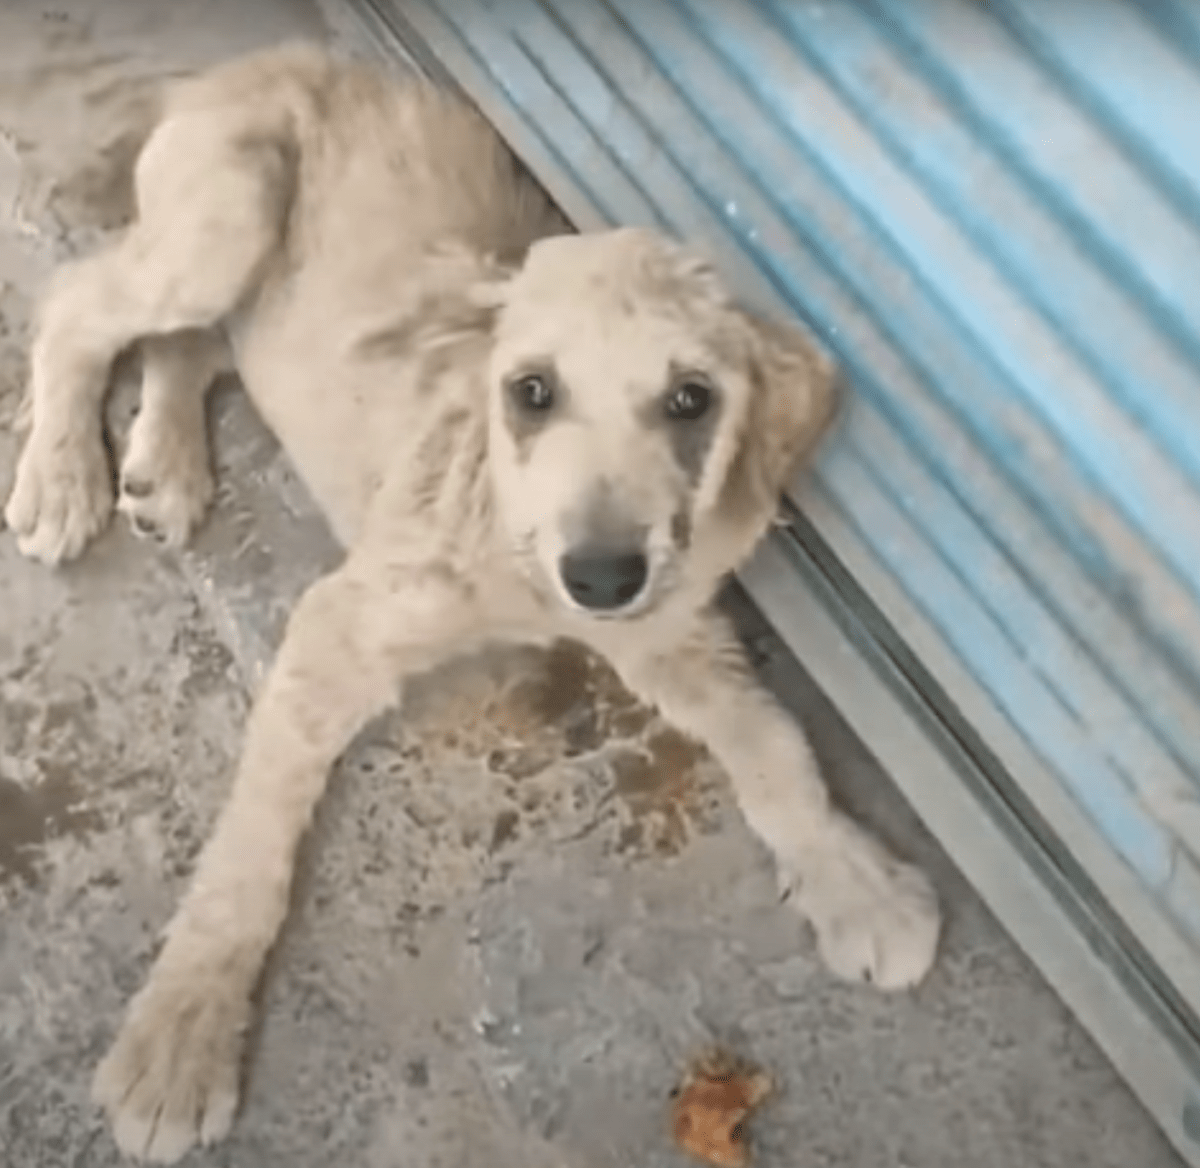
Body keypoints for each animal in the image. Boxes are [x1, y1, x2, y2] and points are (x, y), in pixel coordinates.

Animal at [2, 41, 936, 1161]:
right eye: (530, 392)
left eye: (691, 400)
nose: (603, 578)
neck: (518, 551)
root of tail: (268, 53)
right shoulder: (338, 628)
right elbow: (249, 853)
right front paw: (183, 1035)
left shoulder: (669, 624)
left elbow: (775, 743)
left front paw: (855, 883)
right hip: (227, 214)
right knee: (81, 300)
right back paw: (64, 475)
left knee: (188, 341)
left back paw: (167, 464)